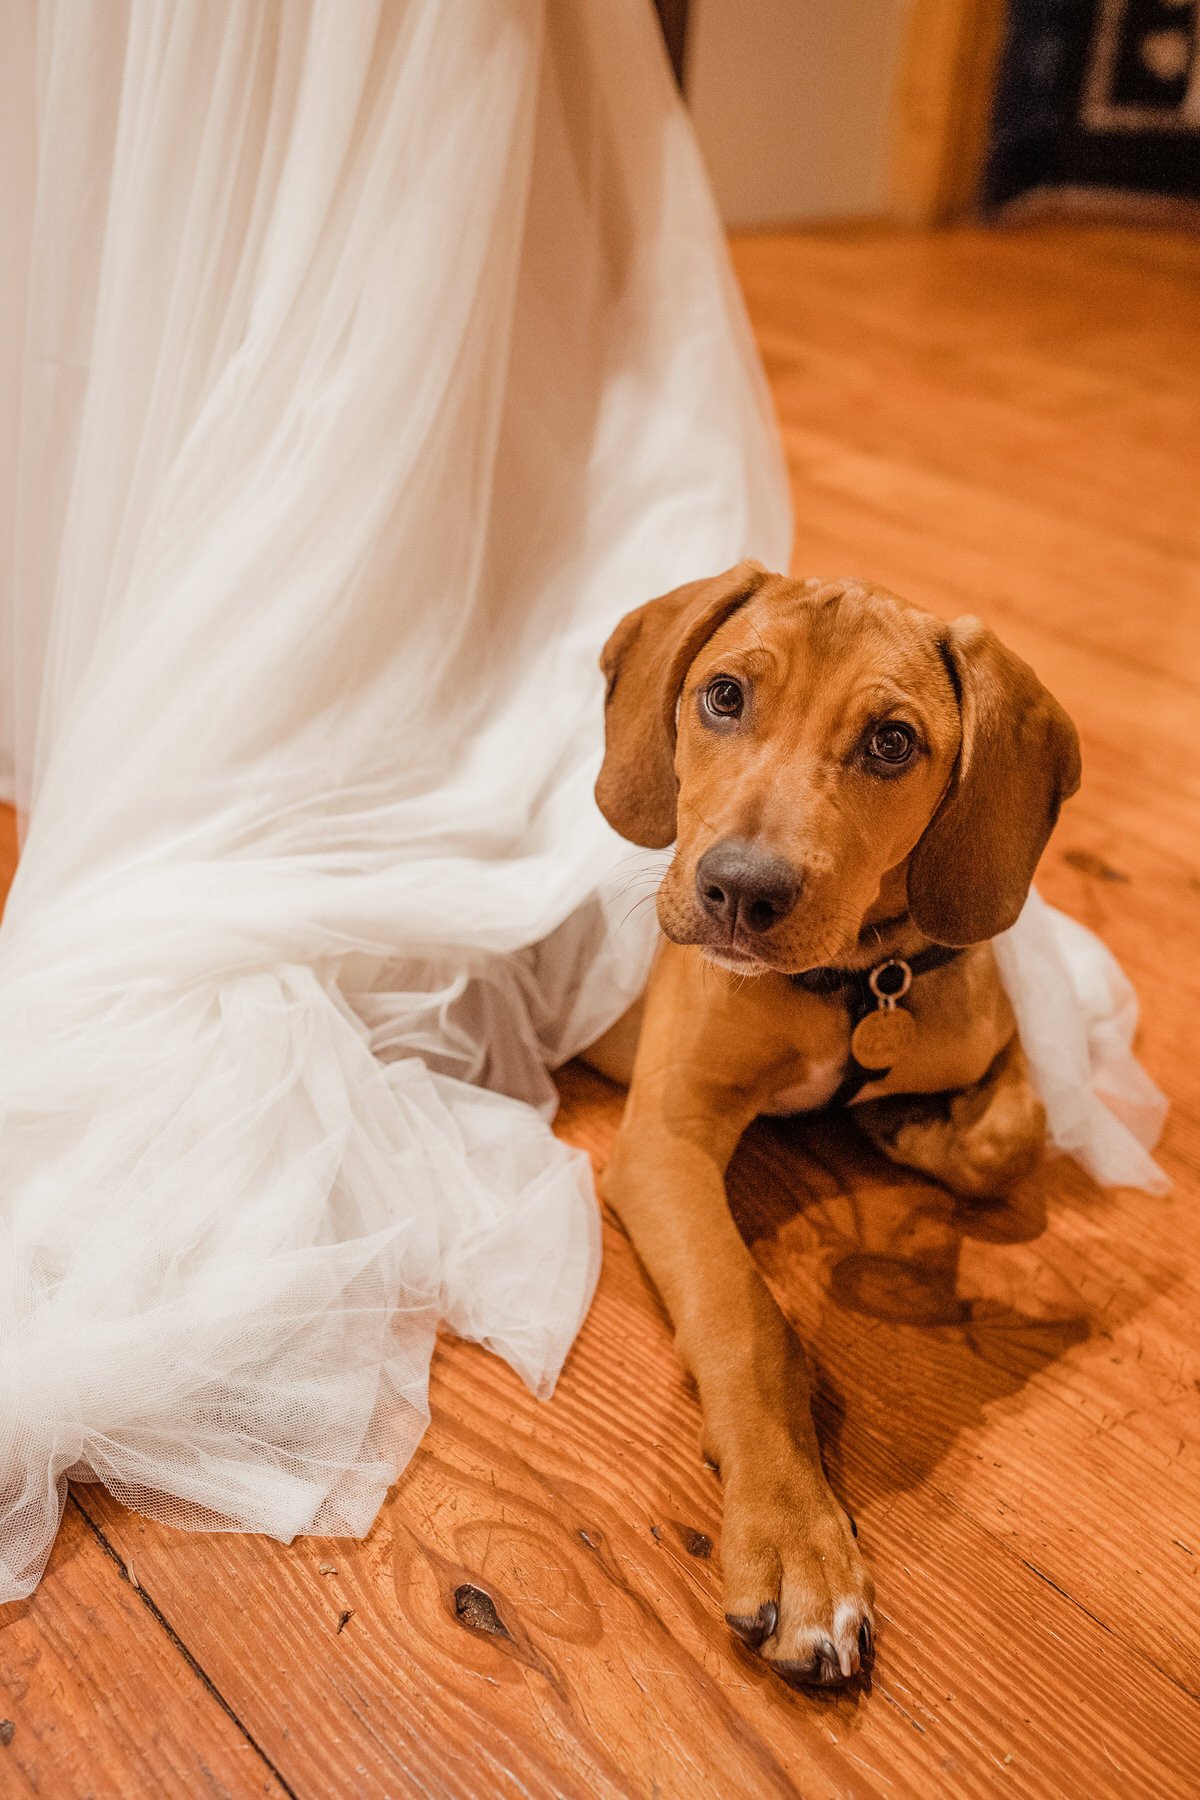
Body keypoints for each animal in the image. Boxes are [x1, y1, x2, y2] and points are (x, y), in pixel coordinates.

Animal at [597, 561, 1086, 1684]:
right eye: (723, 695)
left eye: (892, 743)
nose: (739, 891)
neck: (858, 982)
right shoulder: (664, 1141)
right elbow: (746, 1319)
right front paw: (794, 1538)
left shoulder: (991, 1023)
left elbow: (1011, 1138)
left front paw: (907, 1128)